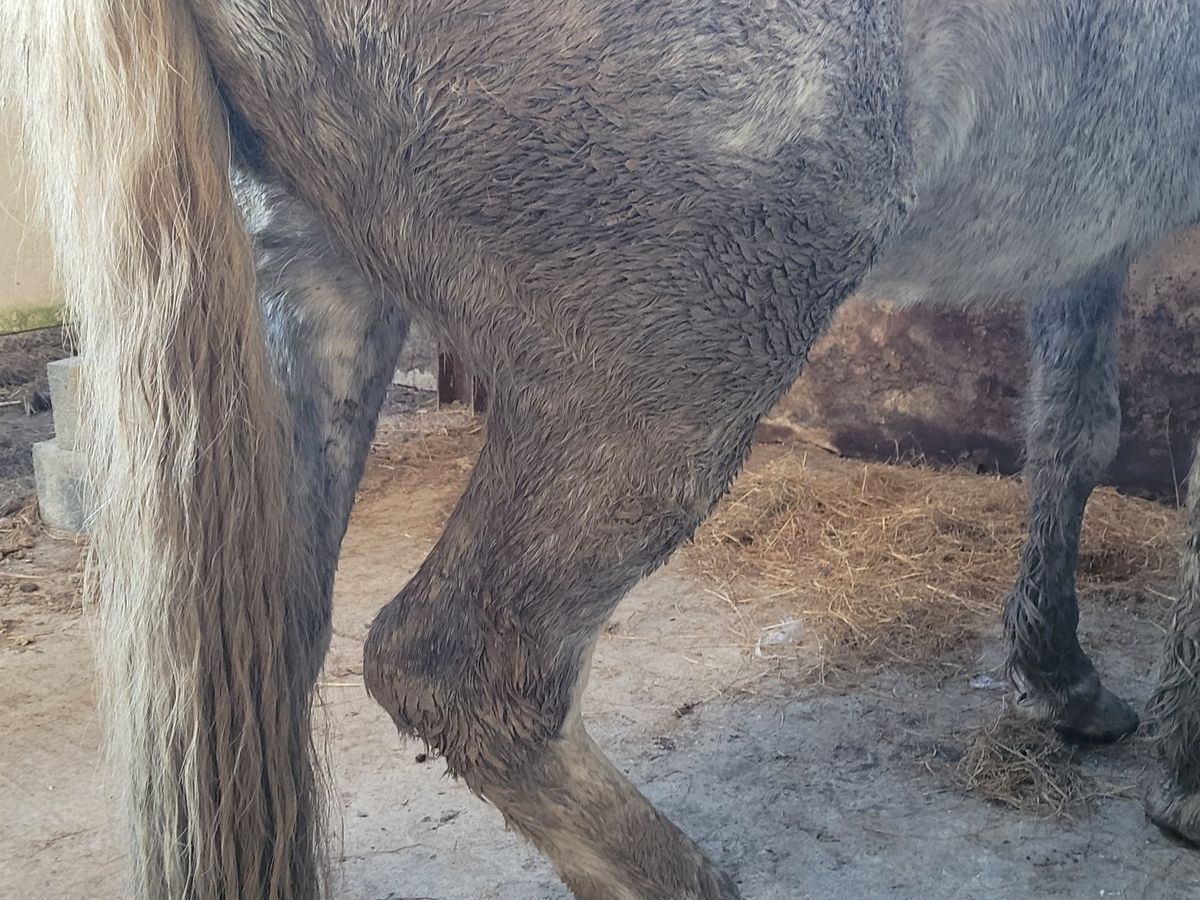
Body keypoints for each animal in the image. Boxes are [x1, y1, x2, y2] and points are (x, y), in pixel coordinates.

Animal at [4, 1, 1199, 897]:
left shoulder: (1087, 234)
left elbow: (1073, 433)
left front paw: (1062, 678)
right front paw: (1183, 781)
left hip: (311, 296)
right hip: (677, 357)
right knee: (465, 669)